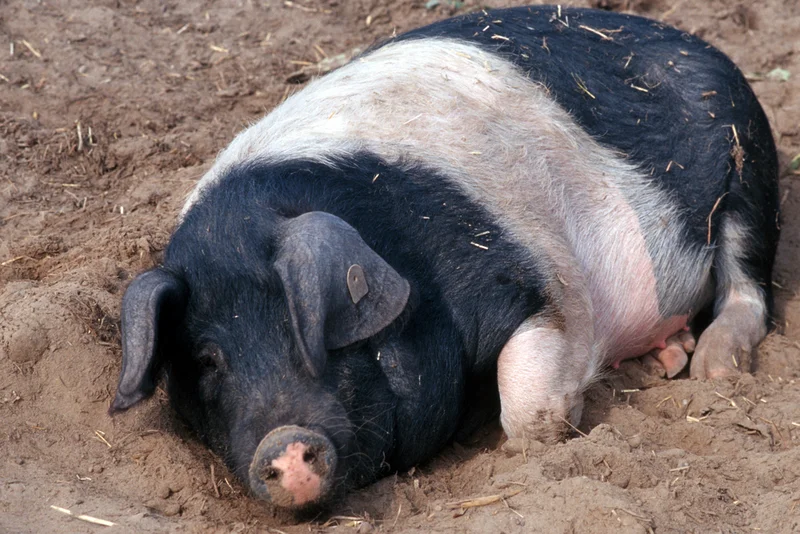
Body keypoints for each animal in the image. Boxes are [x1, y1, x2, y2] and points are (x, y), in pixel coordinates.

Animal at [109, 5, 779, 510]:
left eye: (313, 332)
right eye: (206, 360)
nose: (282, 443)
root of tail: (692, 41)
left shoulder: (536, 282)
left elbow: (529, 409)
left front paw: (560, 419)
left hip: (748, 165)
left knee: (748, 285)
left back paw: (712, 370)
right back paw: (671, 357)